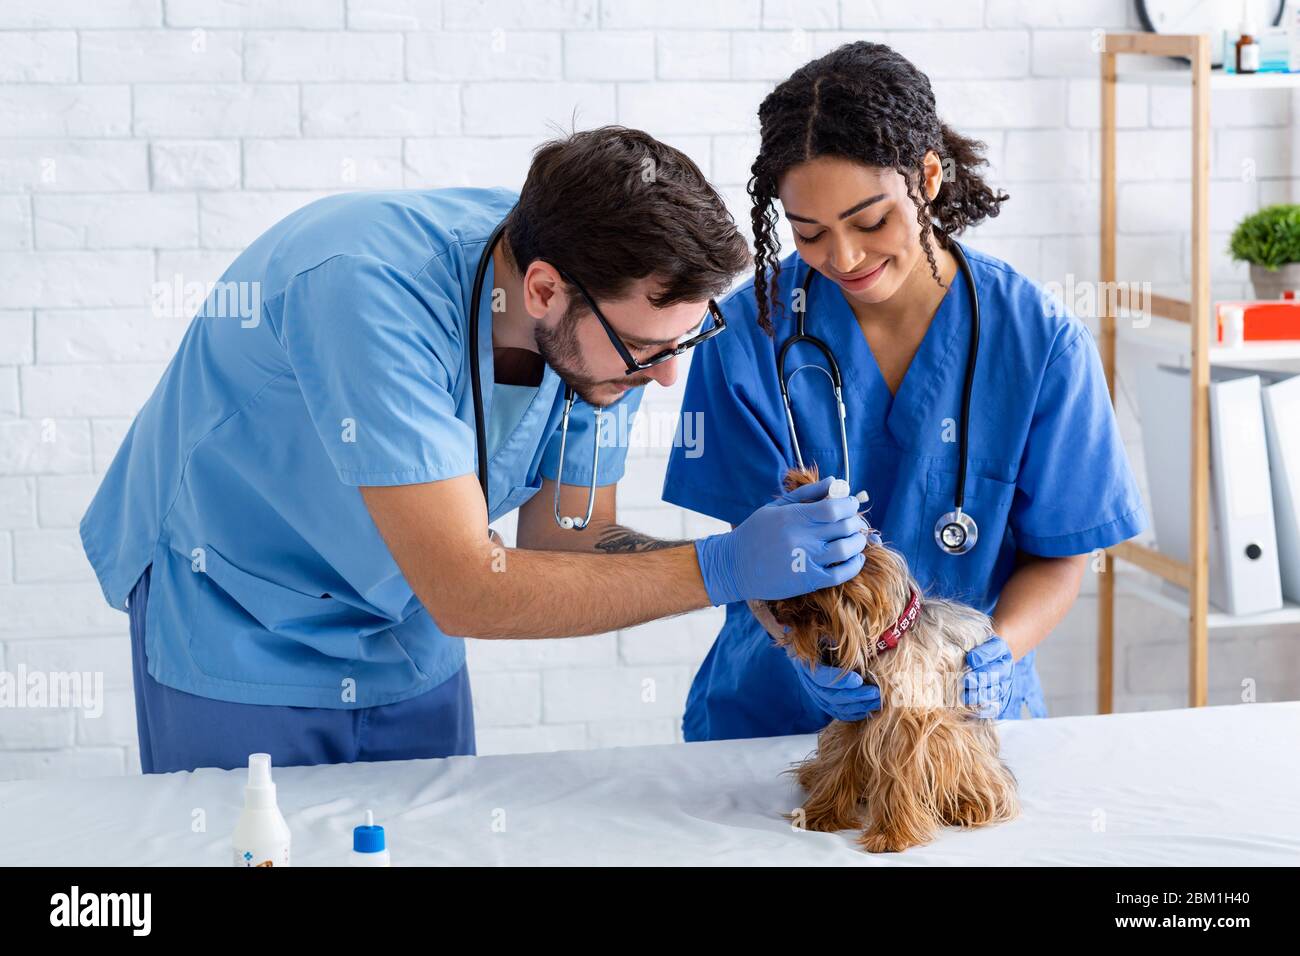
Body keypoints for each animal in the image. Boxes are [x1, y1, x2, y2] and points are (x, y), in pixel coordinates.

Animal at [764, 468, 1019, 858]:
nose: (769, 607)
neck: (888, 637)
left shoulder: (910, 724)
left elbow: (899, 778)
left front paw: (891, 834)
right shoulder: (856, 712)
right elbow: (841, 762)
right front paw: (822, 814)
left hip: (970, 734)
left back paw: (968, 804)